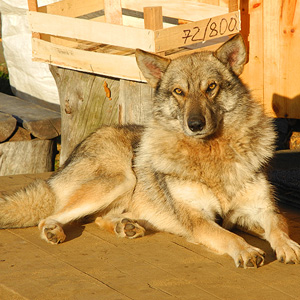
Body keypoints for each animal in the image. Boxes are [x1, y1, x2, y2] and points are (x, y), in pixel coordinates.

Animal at [0, 34, 300, 268]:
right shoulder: (198, 219)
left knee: (99, 218)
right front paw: (247, 250)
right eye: (179, 91)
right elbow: (230, 237)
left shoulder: (260, 210)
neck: (212, 154)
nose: (195, 124)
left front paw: (288, 246)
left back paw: (126, 226)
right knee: (49, 217)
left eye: (211, 87)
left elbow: (278, 226)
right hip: (122, 179)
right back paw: (56, 231)